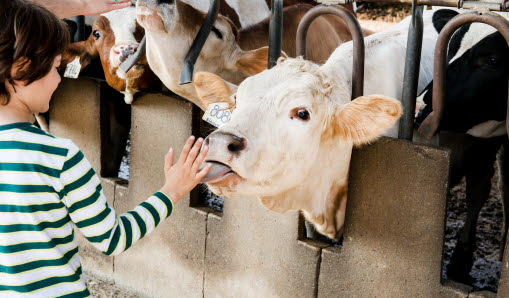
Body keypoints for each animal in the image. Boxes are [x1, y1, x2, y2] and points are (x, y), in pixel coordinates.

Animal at [412, 9, 508, 284]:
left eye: (493, 60)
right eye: (449, 48)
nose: (422, 105)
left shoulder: (484, 152)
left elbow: (478, 192)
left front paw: (460, 262)